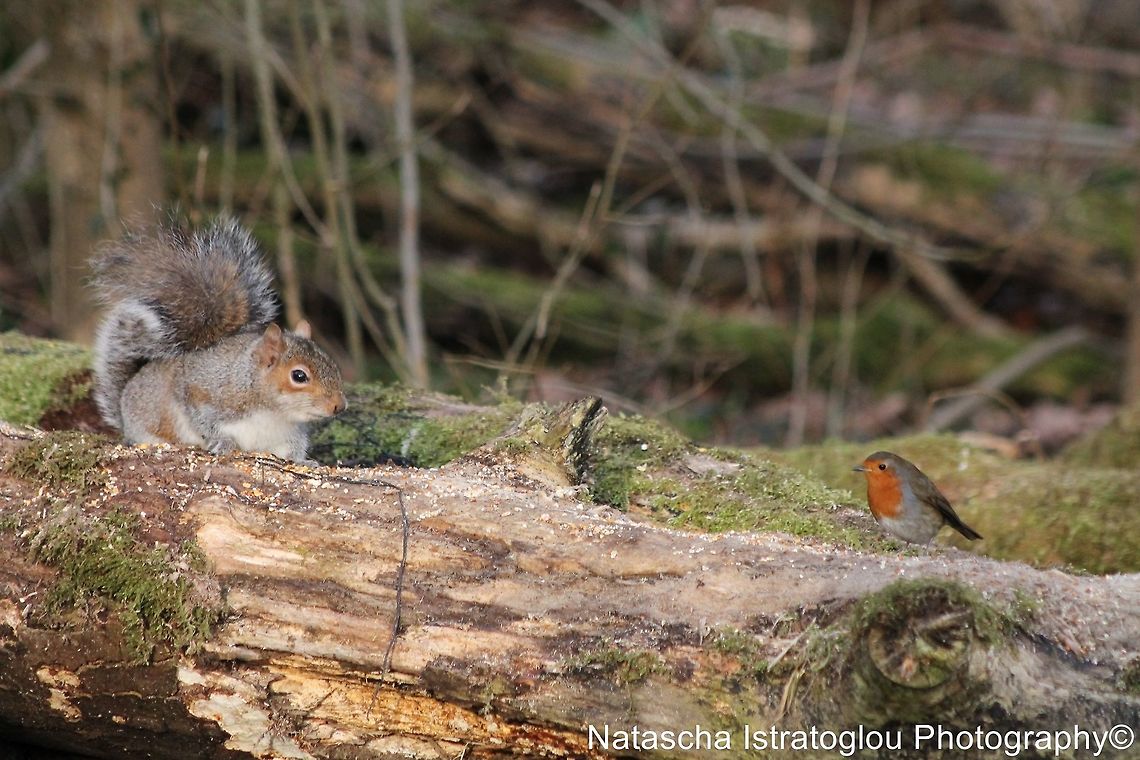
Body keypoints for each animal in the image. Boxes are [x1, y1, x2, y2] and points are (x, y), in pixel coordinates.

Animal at [90, 216, 347, 462]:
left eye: (333, 365)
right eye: (299, 376)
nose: (339, 406)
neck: (273, 412)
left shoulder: (290, 434)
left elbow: (293, 451)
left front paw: (305, 462)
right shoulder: (200, 393)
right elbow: (203, 421)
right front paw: (224, 443)